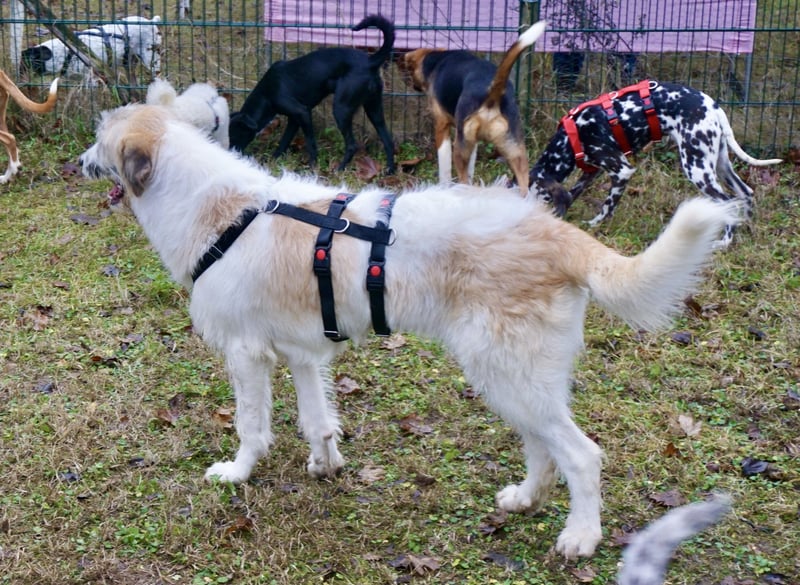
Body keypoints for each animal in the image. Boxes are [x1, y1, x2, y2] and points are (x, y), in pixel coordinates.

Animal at [80, 103, 738, 559]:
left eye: (100, 140)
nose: (75, 163)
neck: (221, 209)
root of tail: (553, 231)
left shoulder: (247, 355)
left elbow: (251, 428)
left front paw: (237, 474)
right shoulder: (303, 356)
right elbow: (317, 420)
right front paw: (325, 465)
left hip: (508, 374)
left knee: (581, 455)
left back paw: (581, 536)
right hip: (514, 379)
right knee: (542, 446)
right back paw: (525, 499)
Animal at [228, 14, 396, 174]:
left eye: (233, 135)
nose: (229, 154)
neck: (266, 93)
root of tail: (370, 62)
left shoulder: (302, 113)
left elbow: (310, 143)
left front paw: (312, 167)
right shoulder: (294, 120)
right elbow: (284, 142)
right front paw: (272, 160)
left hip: (342, 109)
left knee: (352, 145)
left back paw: (340, 169)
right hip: (374, 109)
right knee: (388, 141)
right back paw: (390, 171)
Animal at [395, 20, 547, 195]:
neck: (436, 59)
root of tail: (493, 91)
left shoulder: (442, 127)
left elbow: (445, 170)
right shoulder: (473, 141)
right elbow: (471, 169)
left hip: (460, 149)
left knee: (462, 179)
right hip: (515, 152)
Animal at [529, 80, 782, 246]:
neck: (572, 137)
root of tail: (714, 107)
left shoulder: (622, 171)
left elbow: (608, 206)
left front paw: (596, 224)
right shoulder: (592, 172)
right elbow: (573, 193)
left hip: (696, 168)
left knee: (728, 203)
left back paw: (725, 241)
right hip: (718, 164)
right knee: (746, 192)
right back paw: (746, 227)